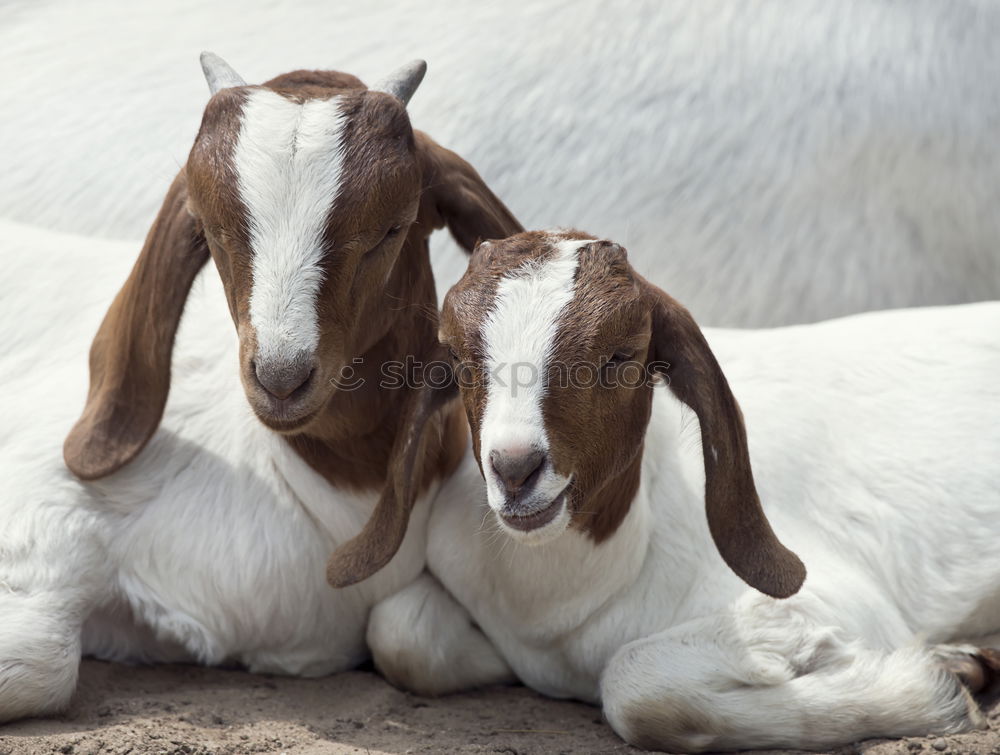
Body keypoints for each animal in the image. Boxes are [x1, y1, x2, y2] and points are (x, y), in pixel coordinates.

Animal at [334, 233, 1000, 752]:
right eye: (458, 356)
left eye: (621, 355)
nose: (515, 469)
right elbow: (399, 633)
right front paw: (957, 668)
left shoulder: (830, 603)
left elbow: (637, 688)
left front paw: (937, 686)